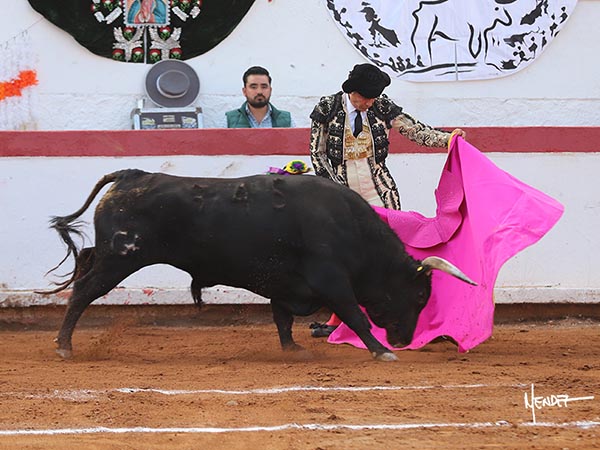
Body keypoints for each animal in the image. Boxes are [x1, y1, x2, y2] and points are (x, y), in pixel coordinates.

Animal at [42, 170, 476, 362]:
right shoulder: (332, 279)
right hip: (121, 258)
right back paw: (63, 345)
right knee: (83, 291)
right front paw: (381, 351)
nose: (404, 340)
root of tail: (133, 175)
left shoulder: (285, 284)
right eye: (419, 296)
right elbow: (354, 314)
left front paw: (292, 349)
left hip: (110, 255)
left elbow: (281, 318)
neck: (349, 227)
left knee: (83, 266)